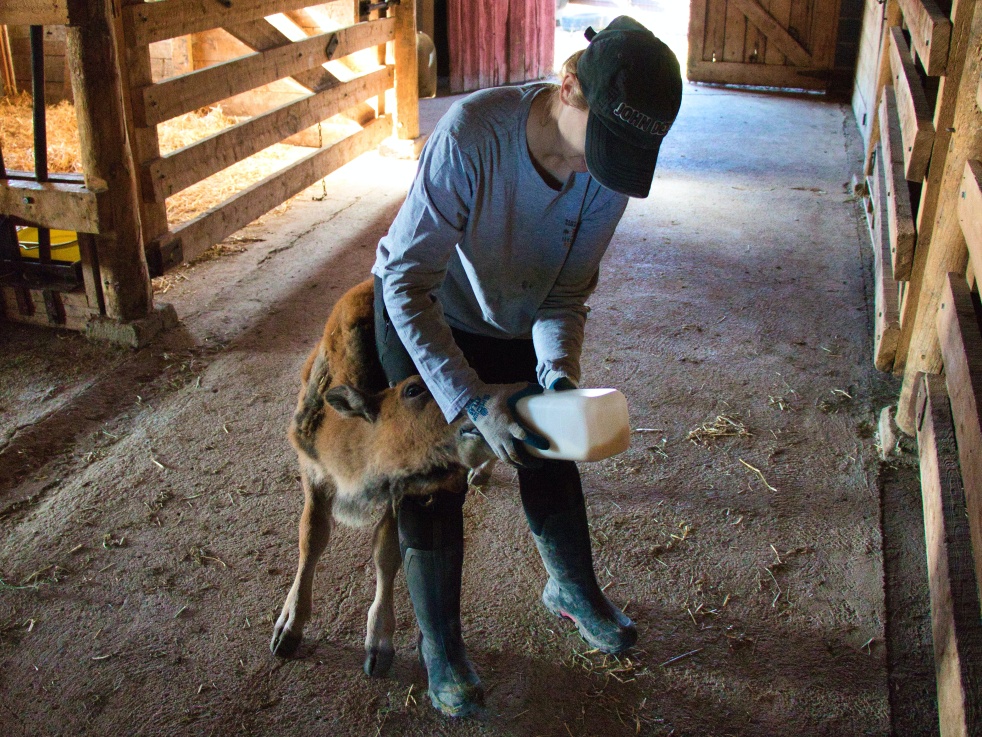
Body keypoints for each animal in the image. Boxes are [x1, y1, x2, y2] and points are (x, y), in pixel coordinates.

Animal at [270, 278, 488, 676]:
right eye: (413, 389)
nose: (472, 425)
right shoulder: (314, 474)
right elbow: (311, 539)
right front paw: (288, 629)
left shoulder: (397, 493)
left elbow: (386, 553)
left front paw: (378, 645)